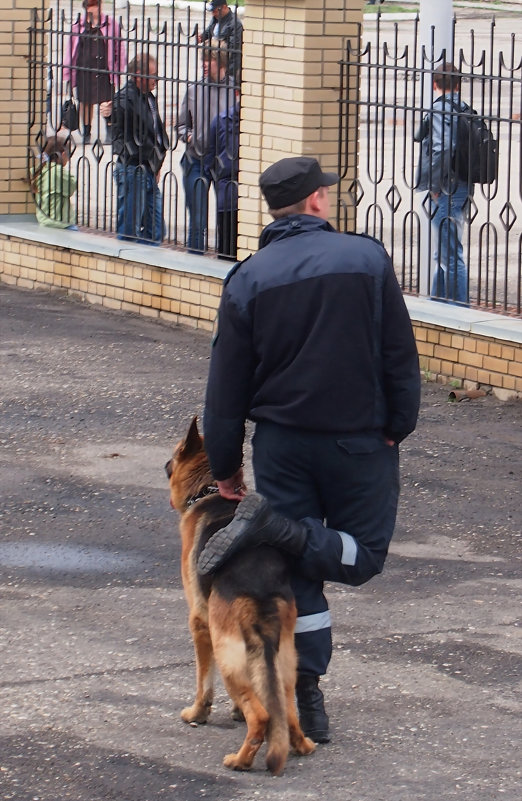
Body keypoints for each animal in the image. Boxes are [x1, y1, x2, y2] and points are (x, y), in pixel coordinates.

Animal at [166, 418, 312, 776]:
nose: (165, 463)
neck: (209, 491)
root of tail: (260, 591)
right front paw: (234, 712)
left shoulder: (199, 623)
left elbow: (204, 683)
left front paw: (198, 714)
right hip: (283, 660)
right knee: (286, 712)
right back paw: (301, 745)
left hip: (227, 653)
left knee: (261, 716)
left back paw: (241, 760)